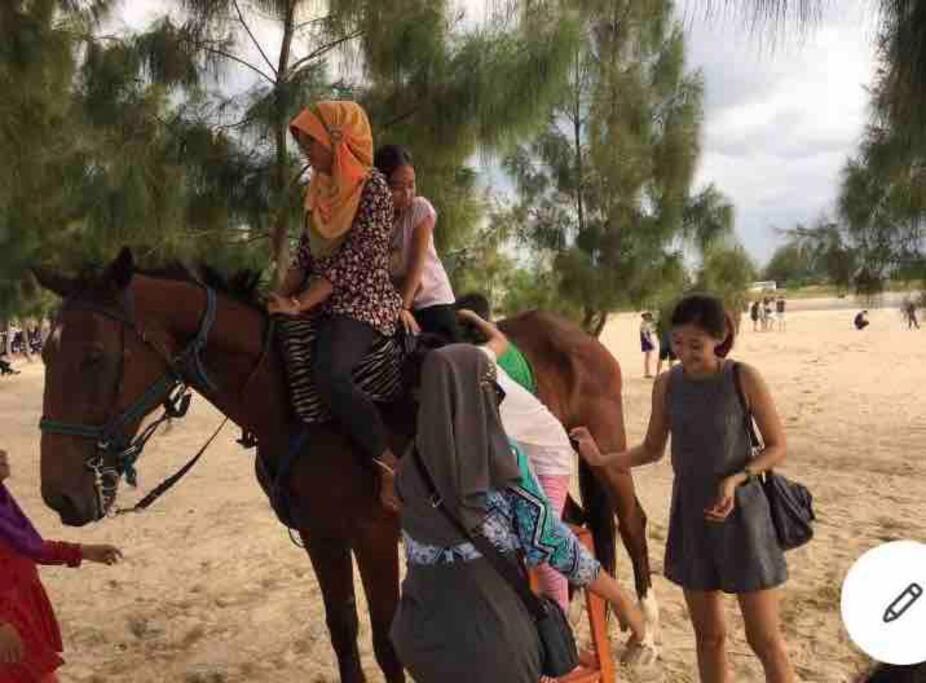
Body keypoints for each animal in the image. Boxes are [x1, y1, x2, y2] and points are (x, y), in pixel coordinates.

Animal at [36, 251, 656, 683]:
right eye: (45, 352)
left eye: (94, 357)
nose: (59, 495)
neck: (302, 404)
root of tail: (577, 333)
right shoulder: (322, 537)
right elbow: (343, 633)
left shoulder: (373, 536)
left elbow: (385, 641)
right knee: (577, 525)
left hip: (605, 448)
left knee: (629, 520)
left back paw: (640, 637)